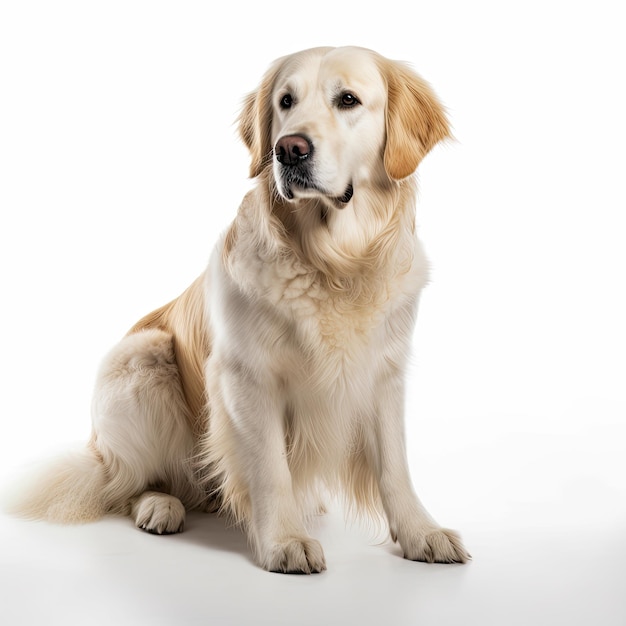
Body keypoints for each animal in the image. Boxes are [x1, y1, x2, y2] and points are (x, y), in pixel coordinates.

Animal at [11, 45, 468, 572]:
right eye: (286, 101)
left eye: (348, 100)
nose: (289, 149)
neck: (334, 263)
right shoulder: (246, 378)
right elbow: (270, 468)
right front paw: (284, 541)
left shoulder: (384, 373)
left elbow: (395, 467)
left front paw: (421, 533)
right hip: (141, 358)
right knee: (125, 485)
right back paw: (158, 505)